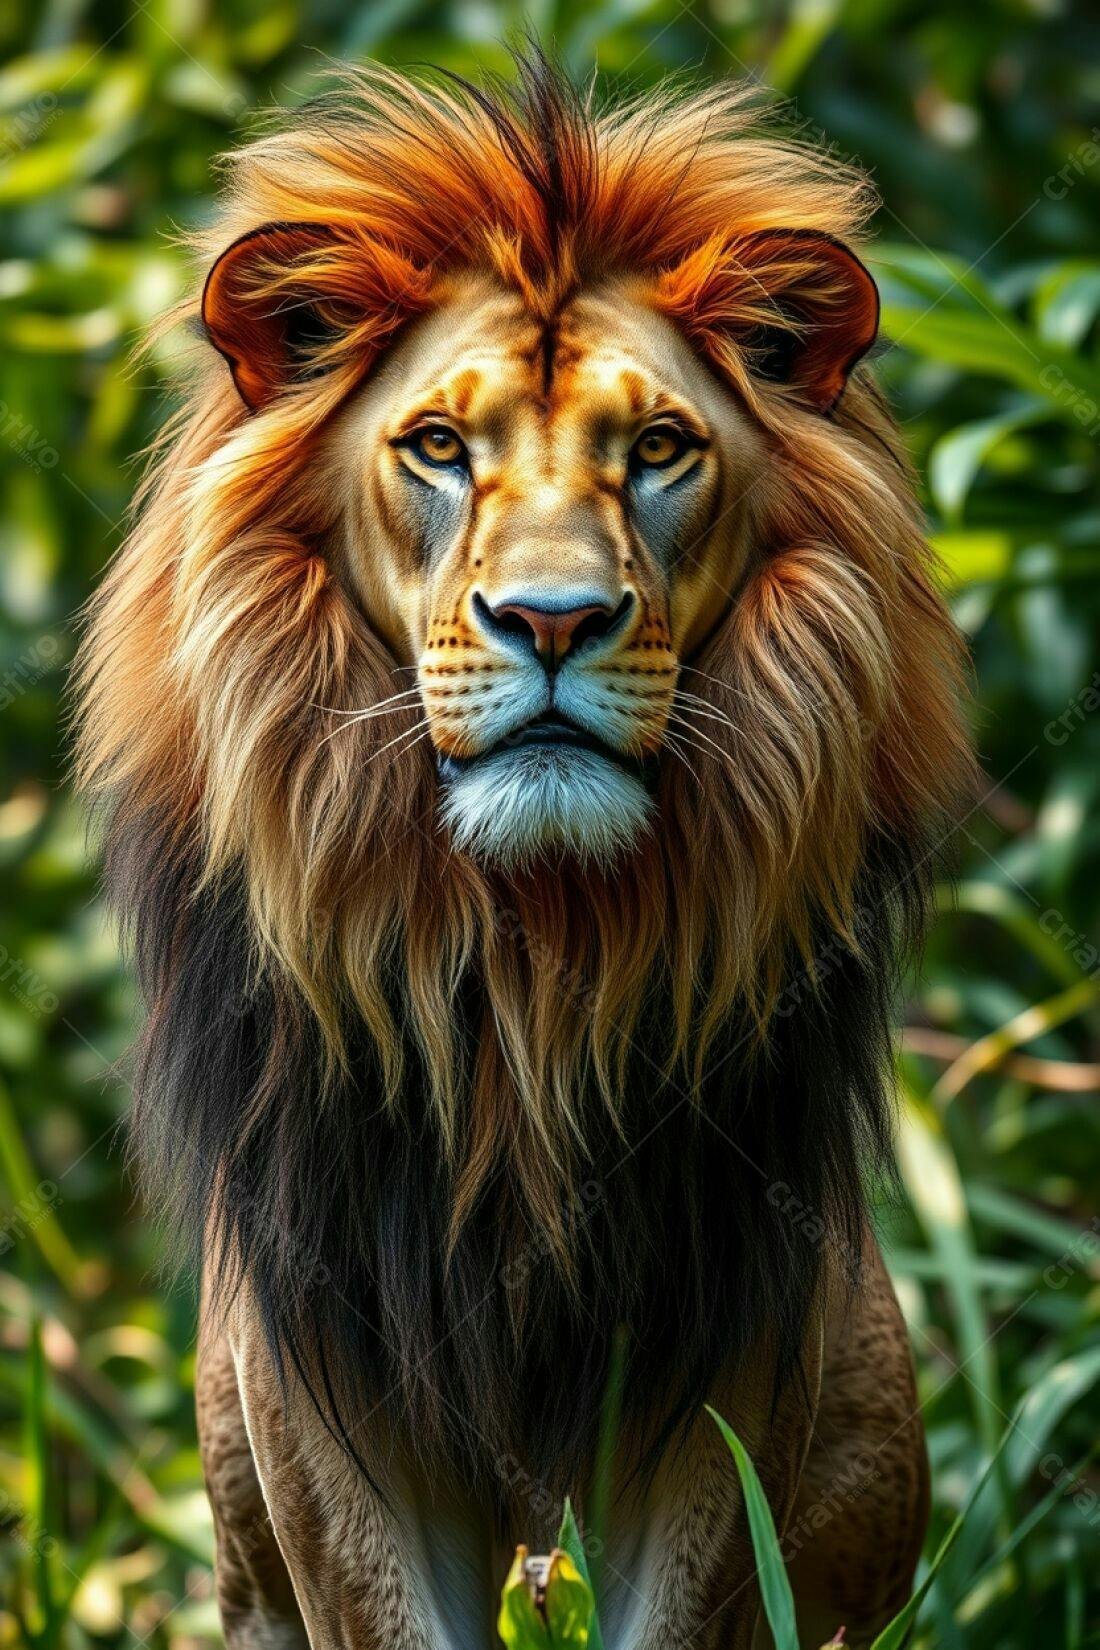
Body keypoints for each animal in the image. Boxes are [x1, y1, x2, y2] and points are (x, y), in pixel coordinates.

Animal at [75, 46, 973, 1650]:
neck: (527, 973)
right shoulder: (328, 1393)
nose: (553, 621)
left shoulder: (725, 1362)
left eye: (660, 449)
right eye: (439, 447)